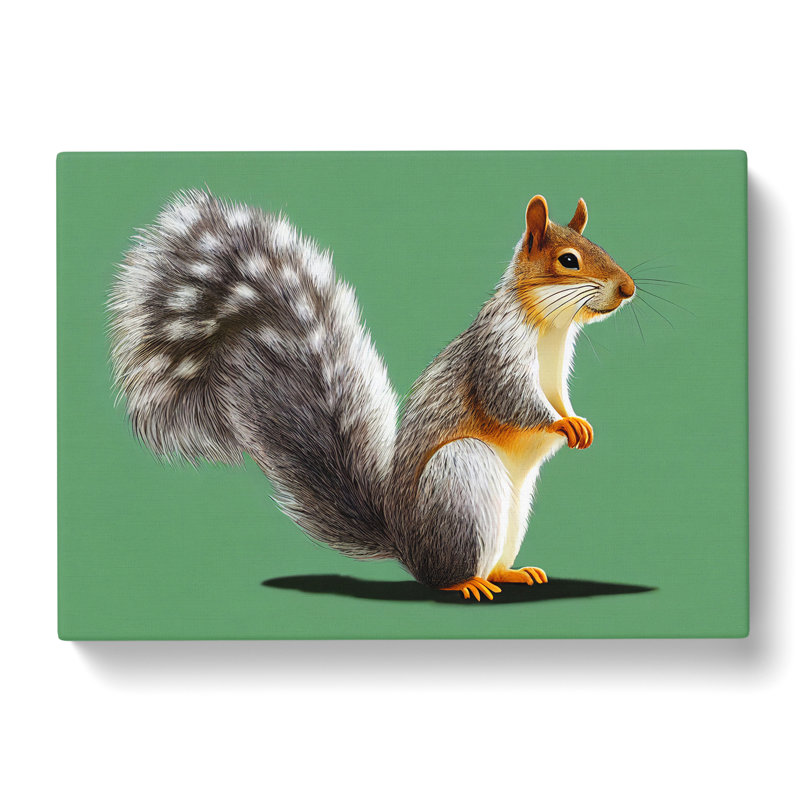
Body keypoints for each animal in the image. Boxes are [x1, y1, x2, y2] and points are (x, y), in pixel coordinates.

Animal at [109, 190, 635, 601]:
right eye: (568, 260)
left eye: (599, 245)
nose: (628, 289)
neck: (551, 328)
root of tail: (407, 545)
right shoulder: (495, 354)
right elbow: (512, 401)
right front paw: (563, 424)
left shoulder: (556, 376)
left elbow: (557, 398)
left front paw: (576, 420)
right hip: (461, 477)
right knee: (443, 574)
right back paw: (466, 583)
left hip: (516, 509)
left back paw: (511, 572)